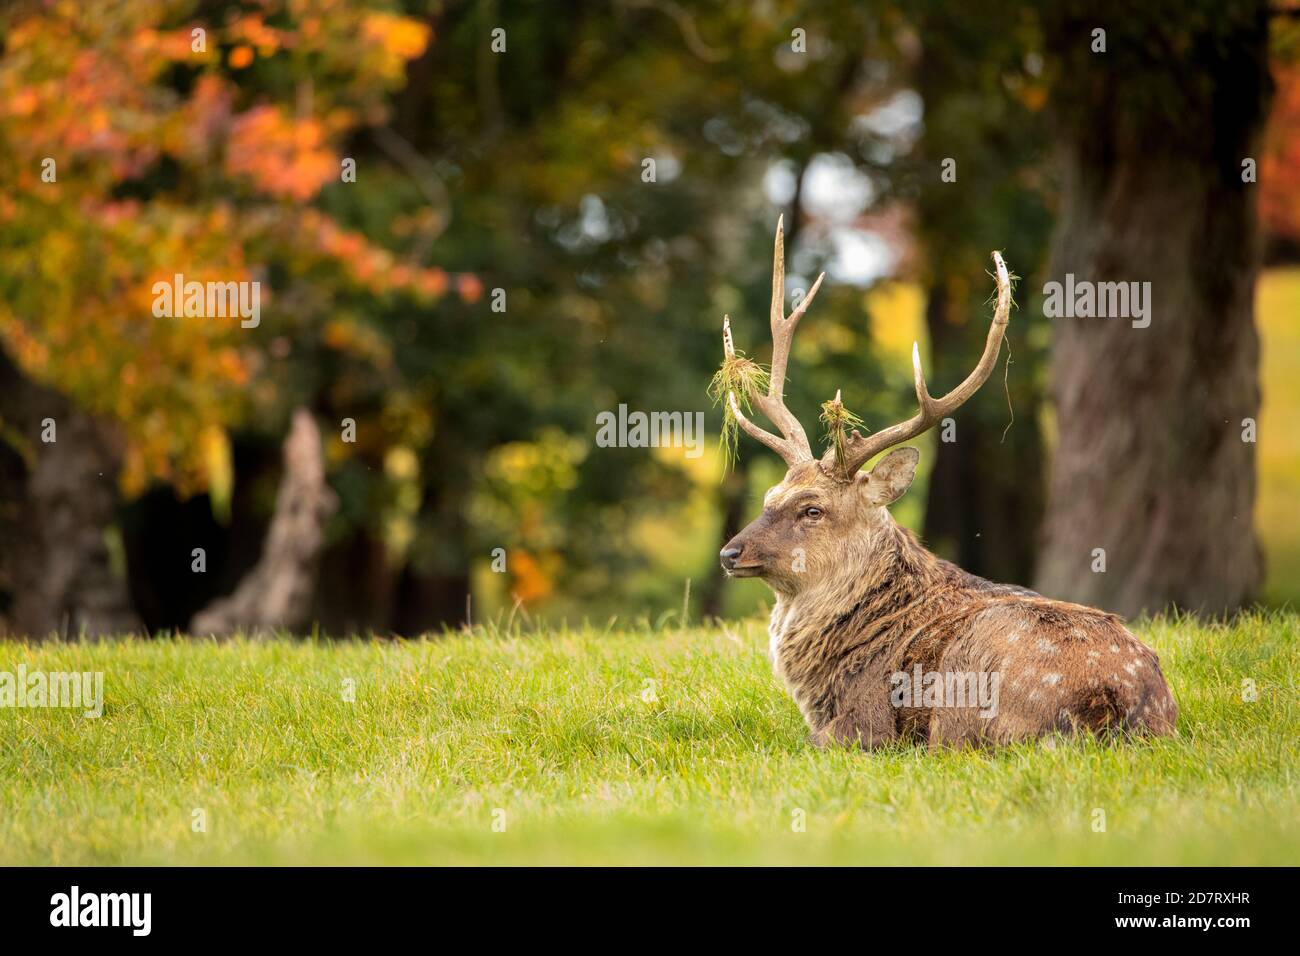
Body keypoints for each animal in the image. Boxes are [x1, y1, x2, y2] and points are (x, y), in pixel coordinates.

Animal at [715, 219, 1178, 749]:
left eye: (812, 509)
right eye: (770, 497)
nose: (730, 553)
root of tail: (1121, 707)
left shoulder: (865, 723)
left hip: (968, 692)